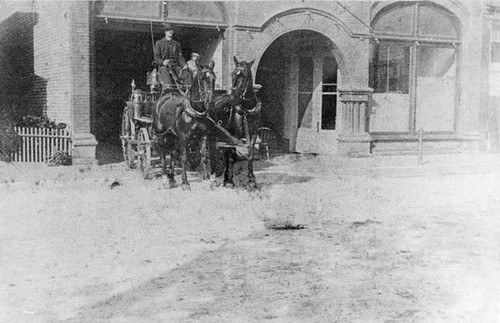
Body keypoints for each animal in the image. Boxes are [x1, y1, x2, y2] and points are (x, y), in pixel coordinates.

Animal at [152, 62, 215, 191]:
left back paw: (172, 178)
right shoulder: (184, 137)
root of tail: (163, 97)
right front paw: (185, 183)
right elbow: (184, 158)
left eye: (213, 79)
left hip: (172, 135)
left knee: (171, 152)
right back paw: (165, 178)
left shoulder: (203, 136)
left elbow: (203, 157)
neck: (195, 111)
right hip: (160, 133)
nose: (210, 102)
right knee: (162, 151)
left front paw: (206, 181)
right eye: (203, 78)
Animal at [207, 57, 262, 190]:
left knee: (223, 152)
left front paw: (251, 180)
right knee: (213, 153)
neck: (246, 109)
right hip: (212, 135)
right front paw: (229, 181)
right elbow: (232, 156)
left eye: (245, 75)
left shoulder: (253, 134)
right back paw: (213, 177)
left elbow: (250, 154)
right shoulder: (233, 135)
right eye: (232, 74)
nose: (233, 97)